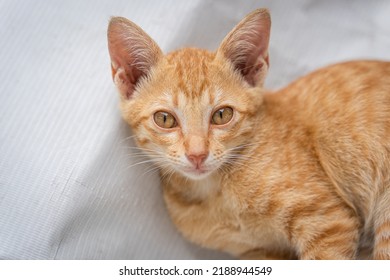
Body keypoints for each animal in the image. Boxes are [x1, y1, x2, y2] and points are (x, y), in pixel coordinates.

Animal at [107, 8, 390, 260]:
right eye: (165, 119)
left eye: (222, 115)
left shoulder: (328, 220)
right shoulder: (260, 253)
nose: (197, 154)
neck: (215, 194)